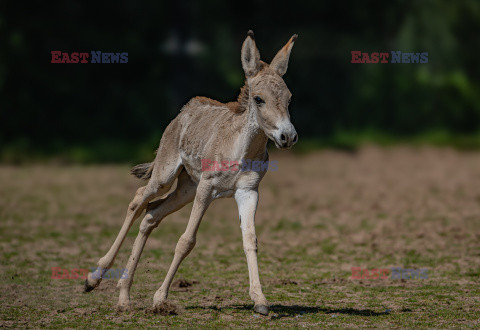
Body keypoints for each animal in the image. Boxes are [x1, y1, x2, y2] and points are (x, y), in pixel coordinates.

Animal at [84, 31, 298, 318]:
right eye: (259, 99)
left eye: (289, 98)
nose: (287, 137)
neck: (242, 150)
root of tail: (182, 113)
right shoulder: (207, 188)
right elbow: (186, 241)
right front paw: (160, 299)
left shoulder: (248, 191)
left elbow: (250, 240)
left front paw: (260, 300)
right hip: (166, 177)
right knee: (138, 200)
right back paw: (94, 279)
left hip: (186, 188)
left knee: (151, 214)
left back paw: (124, 296)